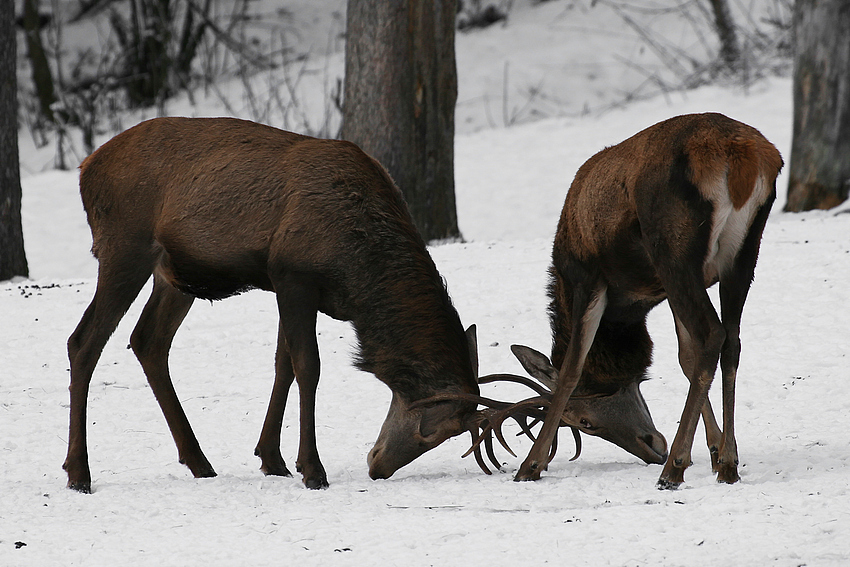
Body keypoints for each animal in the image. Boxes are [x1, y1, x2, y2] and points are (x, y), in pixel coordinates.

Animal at [63, 117, 490, 494]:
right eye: (433, 429)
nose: (378, 466)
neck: (358, 273)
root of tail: (85, 168)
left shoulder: (291, 285)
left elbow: (282, 365)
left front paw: (273, 459)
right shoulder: (294, 274)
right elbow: (308, 366)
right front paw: (313, 470)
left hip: (173, 275)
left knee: (148, 340)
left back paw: (199, 462)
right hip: (124, 248)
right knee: (83, 341)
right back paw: (79, 473)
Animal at [450, 113, 780, 490]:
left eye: (583, 420)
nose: (652, 447)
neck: (628, 314)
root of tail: (746, 157)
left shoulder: (588, 278)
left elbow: (572, 369)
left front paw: (531, 465)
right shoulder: (664, 291)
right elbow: (685, 356)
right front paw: (713, 450)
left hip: (673, 250)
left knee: (712, 333)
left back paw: (674, 468)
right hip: (741, 255)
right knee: (731, 341)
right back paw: (727, 464)